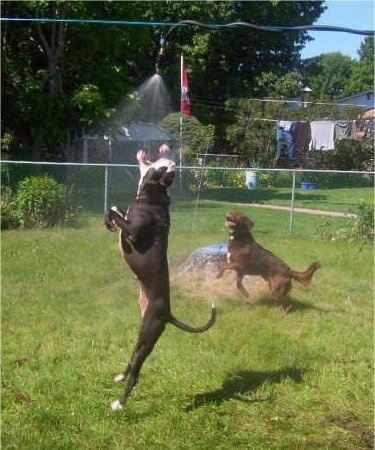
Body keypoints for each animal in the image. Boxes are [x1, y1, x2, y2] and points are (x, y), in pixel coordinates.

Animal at [106, 163, 217, 410]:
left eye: (163, 168)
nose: (172, 163)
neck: (151, 199)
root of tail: (167, 313)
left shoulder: (133, 231)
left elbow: (117, 214)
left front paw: (112, 218)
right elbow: (114, 210)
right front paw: (109, 221)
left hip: (148, 333)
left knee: (136, 375)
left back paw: (120, 403)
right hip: (143, 335)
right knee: (133, 360)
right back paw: (121, 376)